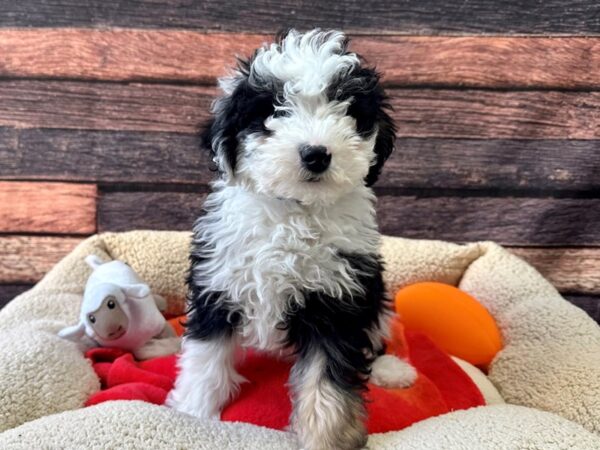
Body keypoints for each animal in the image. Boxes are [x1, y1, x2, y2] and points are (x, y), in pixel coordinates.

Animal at [166, 29, 414, 450]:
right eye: (272, 111)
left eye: (348, 111)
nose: (316, 154)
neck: (294, 210)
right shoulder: (219, 278)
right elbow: (206, 357)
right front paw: (193, 413)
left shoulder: (339, 298)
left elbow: (326, 383)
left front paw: (325, 438)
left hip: (374, 294)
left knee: (376, 333)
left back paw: (394, 370)